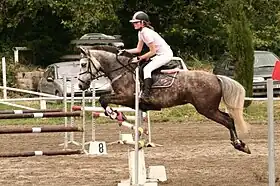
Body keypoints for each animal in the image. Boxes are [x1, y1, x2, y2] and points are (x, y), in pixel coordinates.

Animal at [78, 45, 252, 154]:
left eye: (83, 64)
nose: (80, 85)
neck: (121, 71)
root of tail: (216, 77)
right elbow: (104, 99)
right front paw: (118, 114)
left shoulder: (127, 97)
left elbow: (103, 99)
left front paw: (115, 114)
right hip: (209, 108)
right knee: (229, 118)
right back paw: (239, 144)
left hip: (207, 109)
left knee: (228, 120)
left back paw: (239, 145)